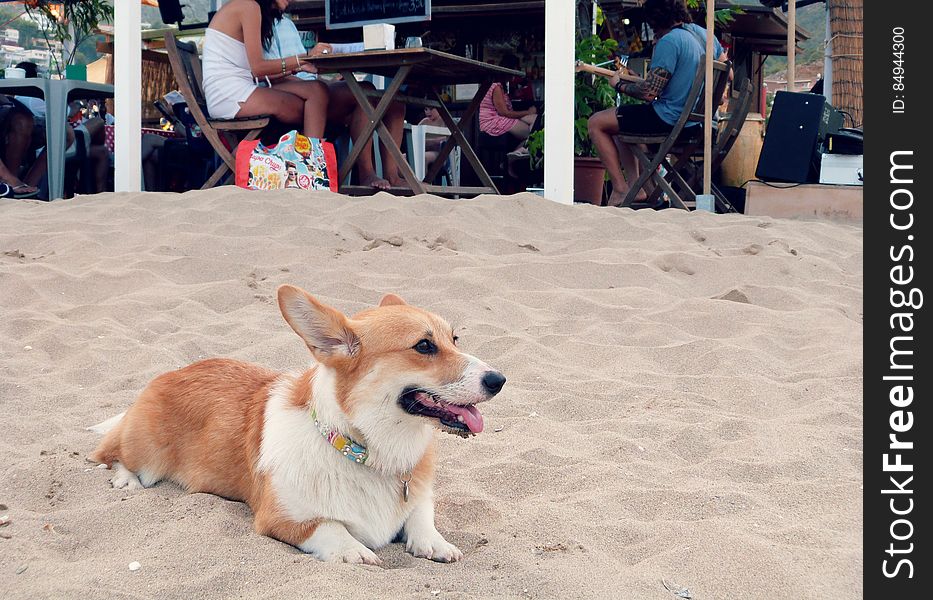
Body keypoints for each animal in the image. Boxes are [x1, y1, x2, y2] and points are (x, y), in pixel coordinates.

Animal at [91, 286, 506, 564]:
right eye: (423, 346)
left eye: (454, 339)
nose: (499, 380)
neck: (365, 451)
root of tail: (170, 373)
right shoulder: (282, 517)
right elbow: (332, 527)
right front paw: (356, 551)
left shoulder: (417, 495)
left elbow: (421, 512)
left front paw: (434, 543)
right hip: (146, 454)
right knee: (109, 452)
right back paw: (125, 479)